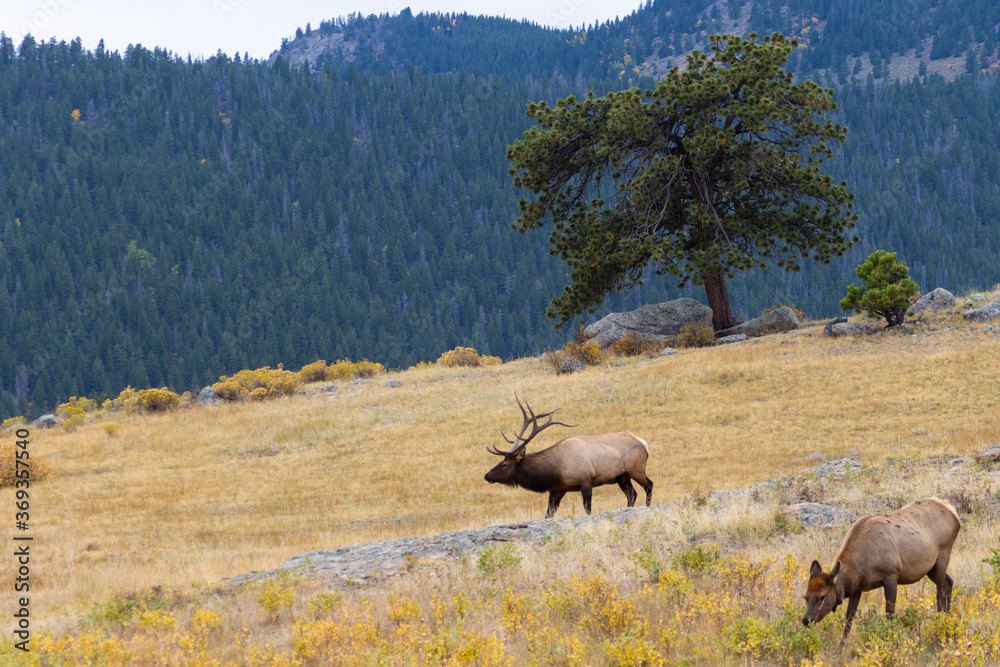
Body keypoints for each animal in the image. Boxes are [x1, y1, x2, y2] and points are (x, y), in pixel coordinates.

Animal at [484, 396, 653, 518]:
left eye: (504, 464)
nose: (486, 476)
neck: (555, 471)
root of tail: (643, 443)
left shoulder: (585, 482)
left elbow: (587, 510)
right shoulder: (557, 490)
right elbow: (548, 514)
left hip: (636, 469)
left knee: (648, 485)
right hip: (622, 476)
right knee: (632, 495)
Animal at [801, 497, 961, 641]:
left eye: (823, 596)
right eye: (805, 596)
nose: (805, 620)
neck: (860, 568)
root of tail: (954, 513)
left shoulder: (891, 574)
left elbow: (889, 613)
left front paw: (891, 641)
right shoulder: (858, 587)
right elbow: (849, 617)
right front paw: (842, 646)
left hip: (943, 554)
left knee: (940, 593)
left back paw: (940, 625)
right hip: (930, 568)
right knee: (949, 582)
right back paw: (948, 620)